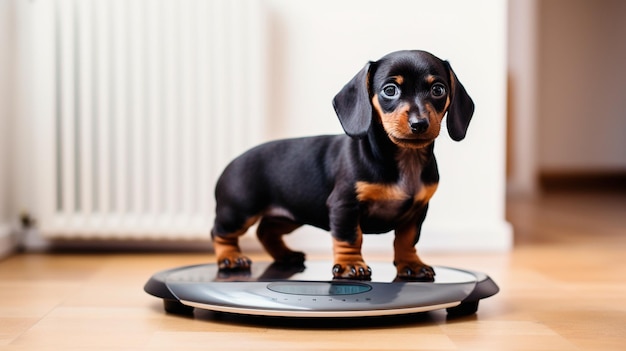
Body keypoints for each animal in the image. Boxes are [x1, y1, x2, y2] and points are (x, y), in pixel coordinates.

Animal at [210, 49, 472, 282]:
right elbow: (350, 237)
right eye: (390, 90)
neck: (406, 159)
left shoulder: (416, 212)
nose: (419, 124)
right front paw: (350, 265)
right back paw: (231, 258)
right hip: (239, 211)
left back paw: (285, 255)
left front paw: (411, 264)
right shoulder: (344, 205)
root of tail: (230, 165)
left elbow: (406, 240)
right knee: (220, 233)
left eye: (438, 89)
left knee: (266, 231)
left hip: (289, 216)